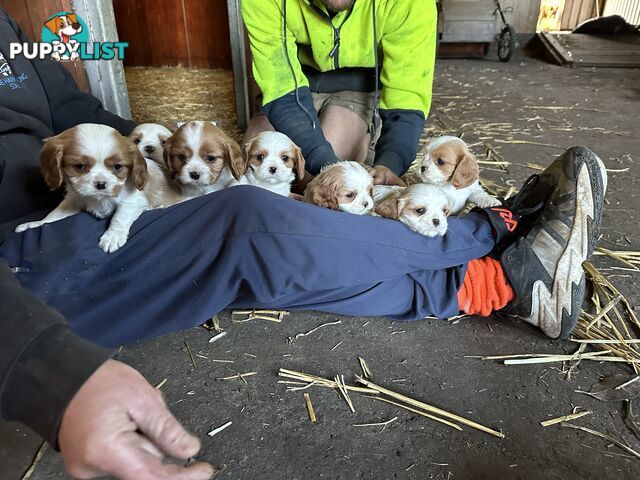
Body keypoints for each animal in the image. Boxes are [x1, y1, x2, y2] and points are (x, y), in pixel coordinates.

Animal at [15, 124, 184, 253]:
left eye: (117, 167)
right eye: (79, 166)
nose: (101, 184)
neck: (99, 198)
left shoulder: (134, 201)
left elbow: (119, 216)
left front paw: (112, 236)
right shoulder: (74, 200)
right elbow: (54, 215)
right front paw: (36, 223)